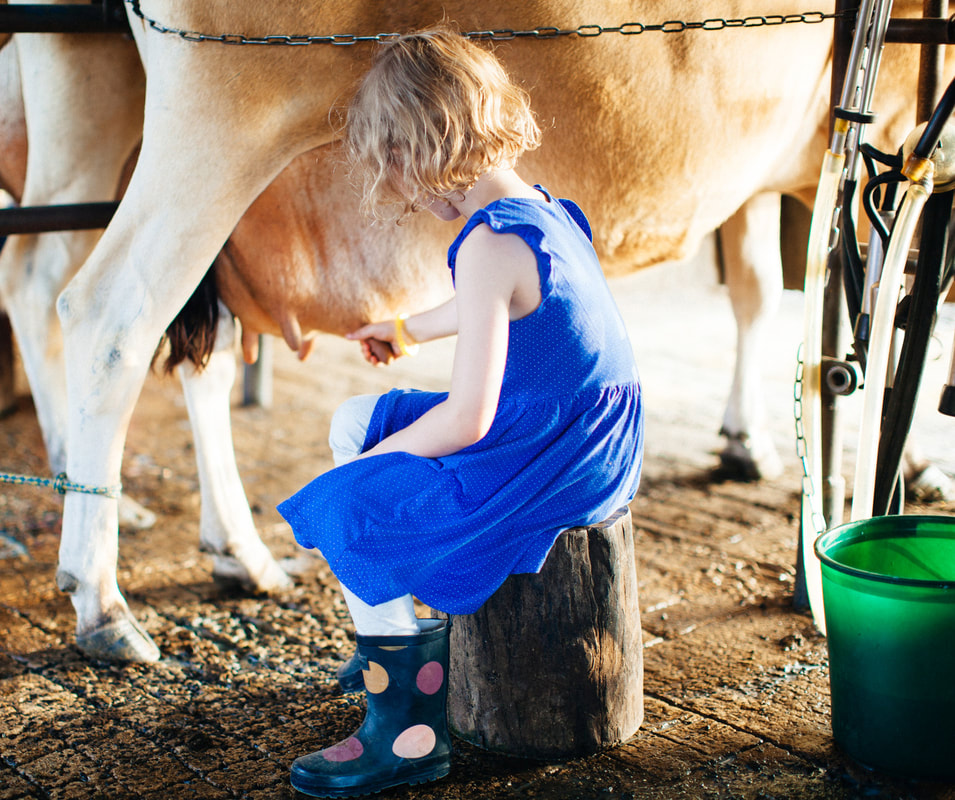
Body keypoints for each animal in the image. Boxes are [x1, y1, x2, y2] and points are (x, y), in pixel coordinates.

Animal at [0, 1, 948, 664]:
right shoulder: (902, 123)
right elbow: (907, 301)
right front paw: (898, 465)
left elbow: (758, 285)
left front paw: (758, 441)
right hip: (222, 119)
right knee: (110, 312)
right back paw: (103, 599)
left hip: (103, 116)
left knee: (60, 285)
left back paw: (196, 538)